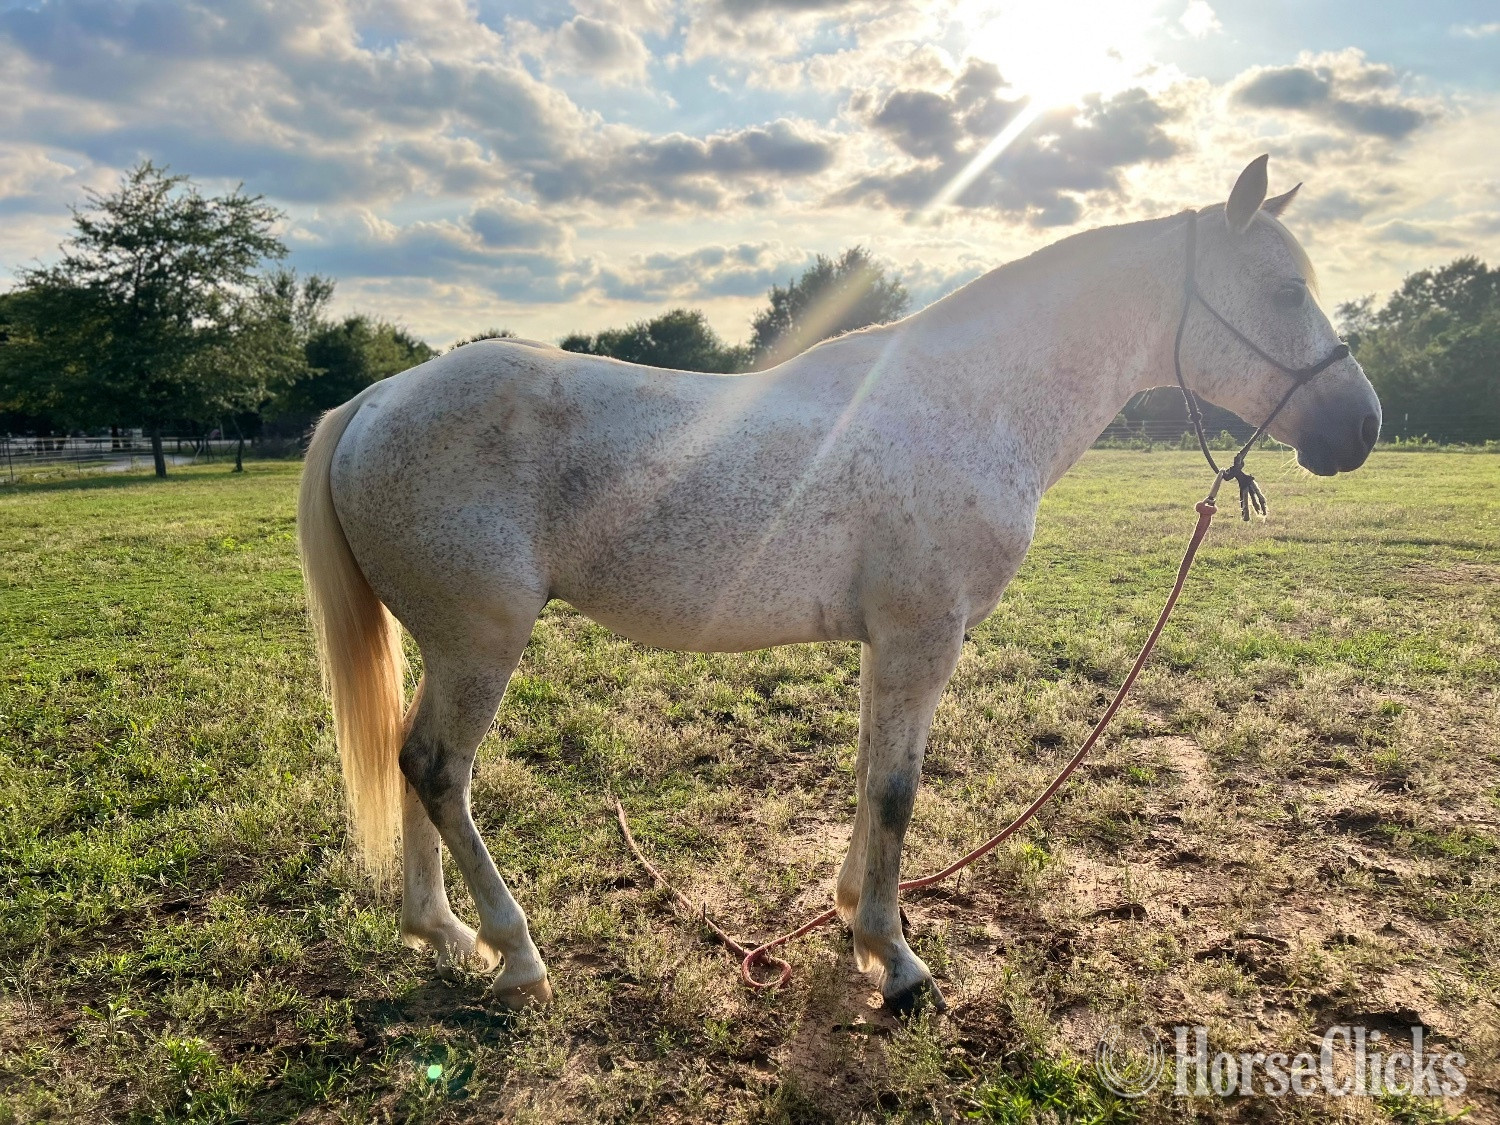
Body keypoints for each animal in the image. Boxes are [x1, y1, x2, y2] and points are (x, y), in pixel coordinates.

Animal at [297, 156, 1381, 1012]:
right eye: (1286, 291)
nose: (1360, 428)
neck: (967, 401)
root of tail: (376, 398)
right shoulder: (922, 635)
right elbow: (897, 791)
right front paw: (896, 962)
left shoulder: (889, 644)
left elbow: (869, 776)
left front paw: (855, 919)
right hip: (482, 640)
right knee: (440, 768)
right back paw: (516, 951)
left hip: (447, 644)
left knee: (411, 762)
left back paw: (443, 933)